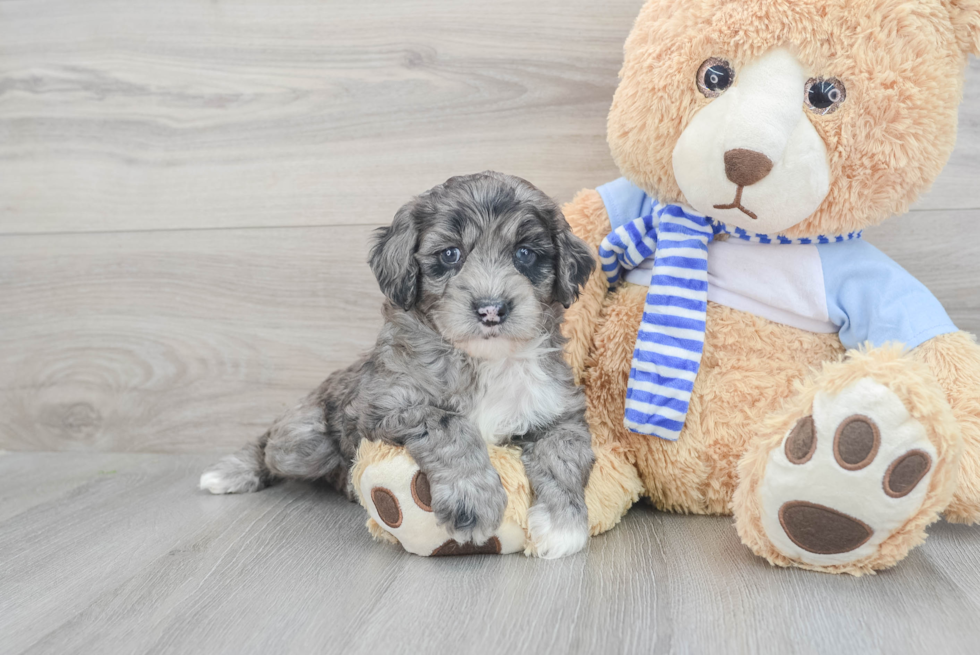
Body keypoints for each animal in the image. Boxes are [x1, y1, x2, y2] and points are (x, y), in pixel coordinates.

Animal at [200, 173, 596, 560]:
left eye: (525, 253)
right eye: (450, 254)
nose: (491, 310)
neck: (483, 360)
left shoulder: (560, 413)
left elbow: (563, 457)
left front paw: (562, 527)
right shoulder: (385, 403)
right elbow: (449, 424)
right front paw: (472, 501)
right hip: (305, 441)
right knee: (269, 445)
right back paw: (232, 473)